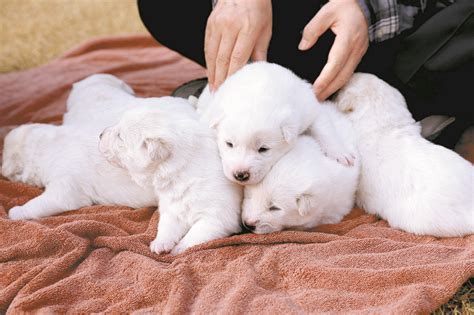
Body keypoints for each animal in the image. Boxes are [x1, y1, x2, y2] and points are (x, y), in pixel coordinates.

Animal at [98, 100, 243, 256]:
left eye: (120, 136)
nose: (100, 134)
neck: (180, 173)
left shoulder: (217, 216)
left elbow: (195, 234)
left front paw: (180, 248)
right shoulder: (171, 209)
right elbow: (166, 227)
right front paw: (160, 243)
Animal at [195, 60, 356, 186]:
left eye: (263, 149)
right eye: (229, 144)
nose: (240, 175)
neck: (258, 96)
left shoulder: (310, 109)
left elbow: (325, 130)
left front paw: (340, 153)